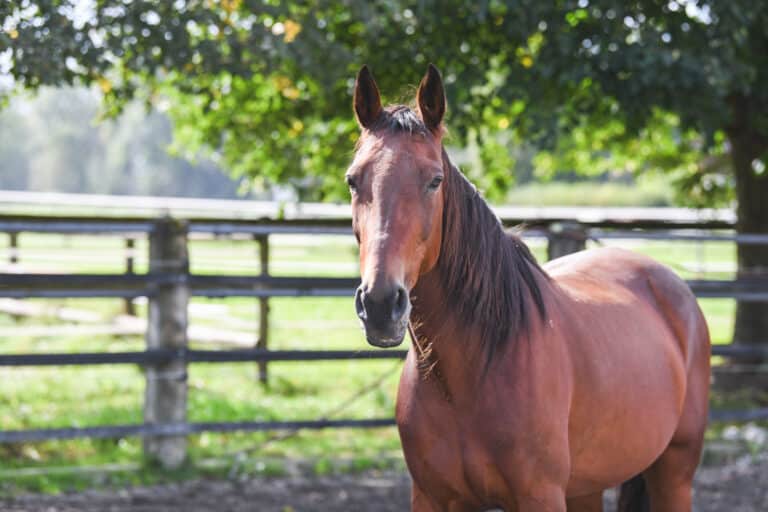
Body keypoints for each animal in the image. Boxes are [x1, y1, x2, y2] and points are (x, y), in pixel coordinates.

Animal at [347, 64, 710, 512]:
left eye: (434, 181)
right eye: (353, 180)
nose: (381, 304)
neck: (474, 369)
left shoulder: (540, 494)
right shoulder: (431, 497)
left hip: (674, 473)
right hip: (587, 487)